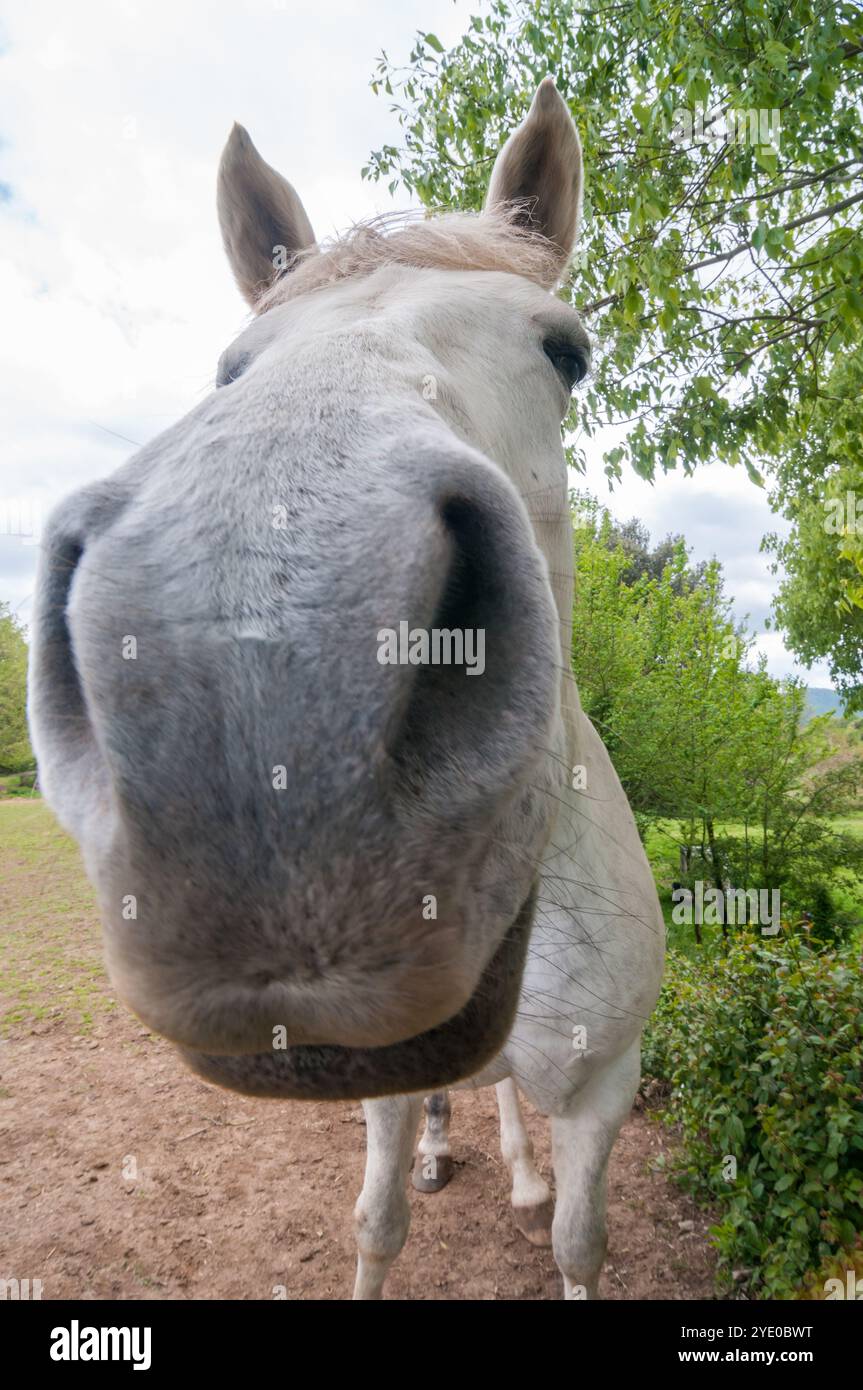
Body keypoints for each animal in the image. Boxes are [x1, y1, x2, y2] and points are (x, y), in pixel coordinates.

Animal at [28, 78, 664, 1299]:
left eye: (565, 352)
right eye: (232, 365)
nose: (257, 693)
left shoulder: (607, 1084)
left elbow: (581, 1239)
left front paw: (542, 1198)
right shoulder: (381, 1077)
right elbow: (374, 1222)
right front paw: (414, 1177)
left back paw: (518, 1172)